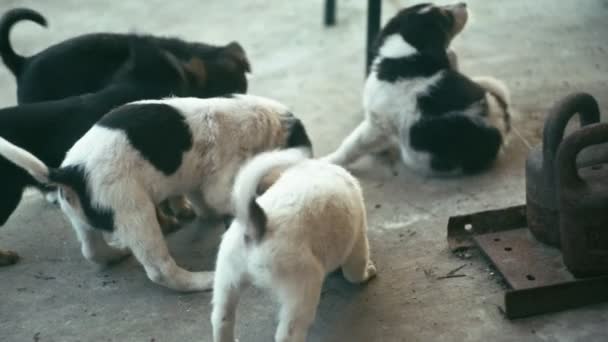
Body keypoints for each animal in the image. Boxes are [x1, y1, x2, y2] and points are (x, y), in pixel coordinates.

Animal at [0, 94, 314, 292]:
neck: (258, 119)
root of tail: (68, 173)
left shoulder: (197, 180)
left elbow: (201, 201)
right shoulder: (221, 179)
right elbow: (229, 195)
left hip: (83, 215)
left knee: (91, 250)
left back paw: (116, 254)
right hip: (134, 211)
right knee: (160, 270)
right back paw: (201, 281)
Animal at [213, 148, 376, 340]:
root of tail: (257, 228)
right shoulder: (358, 239)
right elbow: (355, 273)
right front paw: (368, 272)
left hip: (226, 279)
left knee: (221, 319)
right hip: (304, 286)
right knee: (288, 334)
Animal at [326, 3, 510, 176]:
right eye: (447, 16)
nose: (464, 4)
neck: (406, 55)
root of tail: (502, 122)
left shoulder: (378, 122)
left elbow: (353, 144)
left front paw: (329, 162)